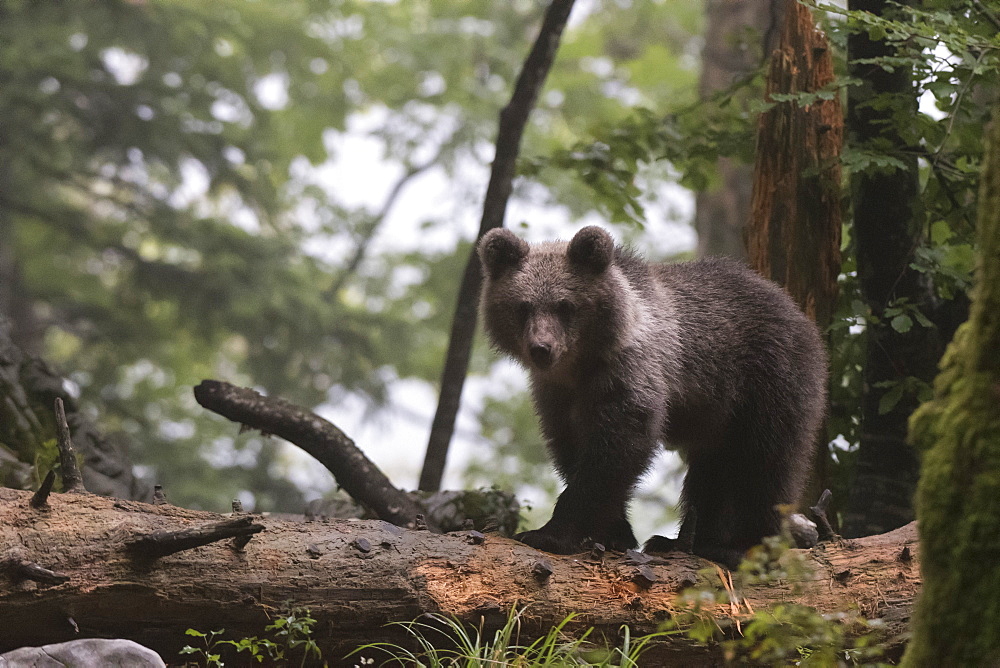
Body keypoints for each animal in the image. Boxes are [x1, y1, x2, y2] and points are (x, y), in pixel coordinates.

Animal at [476, 227, 828, 568]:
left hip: (767, 380)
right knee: (712, 471)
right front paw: (615, 533)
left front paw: (548, 534)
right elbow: (572, 449)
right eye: (523, 307)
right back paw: (685, 541)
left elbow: (617, 450)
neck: (580, 367)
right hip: (717, 416)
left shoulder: (631, 373)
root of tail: (792, 305)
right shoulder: (556, 396)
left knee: (764, 462)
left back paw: (742, 545)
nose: (541, 348)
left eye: (565, 305)